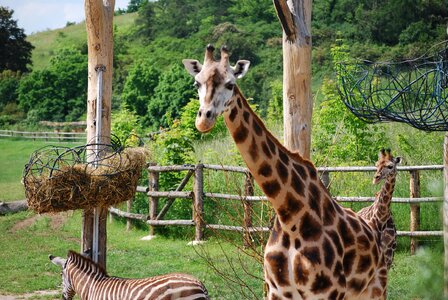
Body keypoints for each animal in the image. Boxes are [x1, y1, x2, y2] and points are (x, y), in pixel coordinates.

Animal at [184, 45, 390, 300]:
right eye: (197, 83)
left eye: (231, 84)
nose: (204, 120)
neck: (290, 214)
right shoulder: (277, 291)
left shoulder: (327, 292)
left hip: (376, 287)